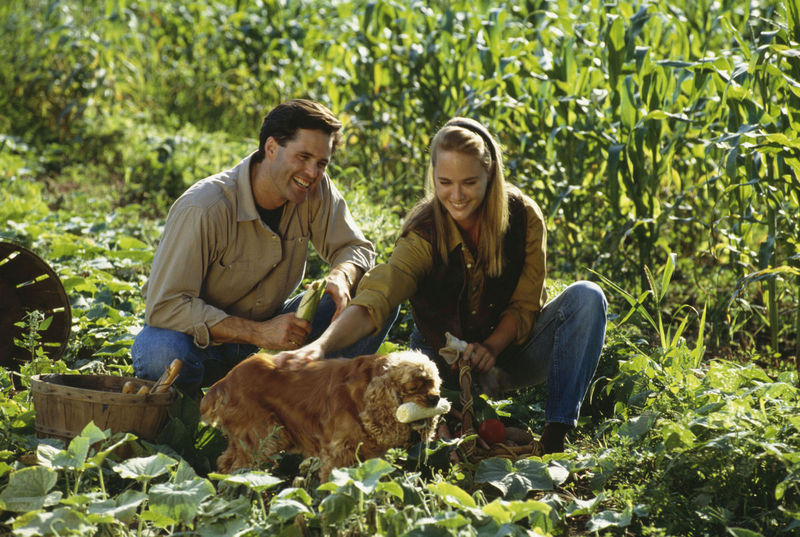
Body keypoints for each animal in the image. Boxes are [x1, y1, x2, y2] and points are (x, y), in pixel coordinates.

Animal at [197, 352, 440, 478]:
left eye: (434, 384)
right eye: (413, 387)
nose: (436, 398)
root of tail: (224, 381)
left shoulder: (371, 455)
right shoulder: (339, 451)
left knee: (225, 461)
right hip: (264, 437)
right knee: (238, 469)